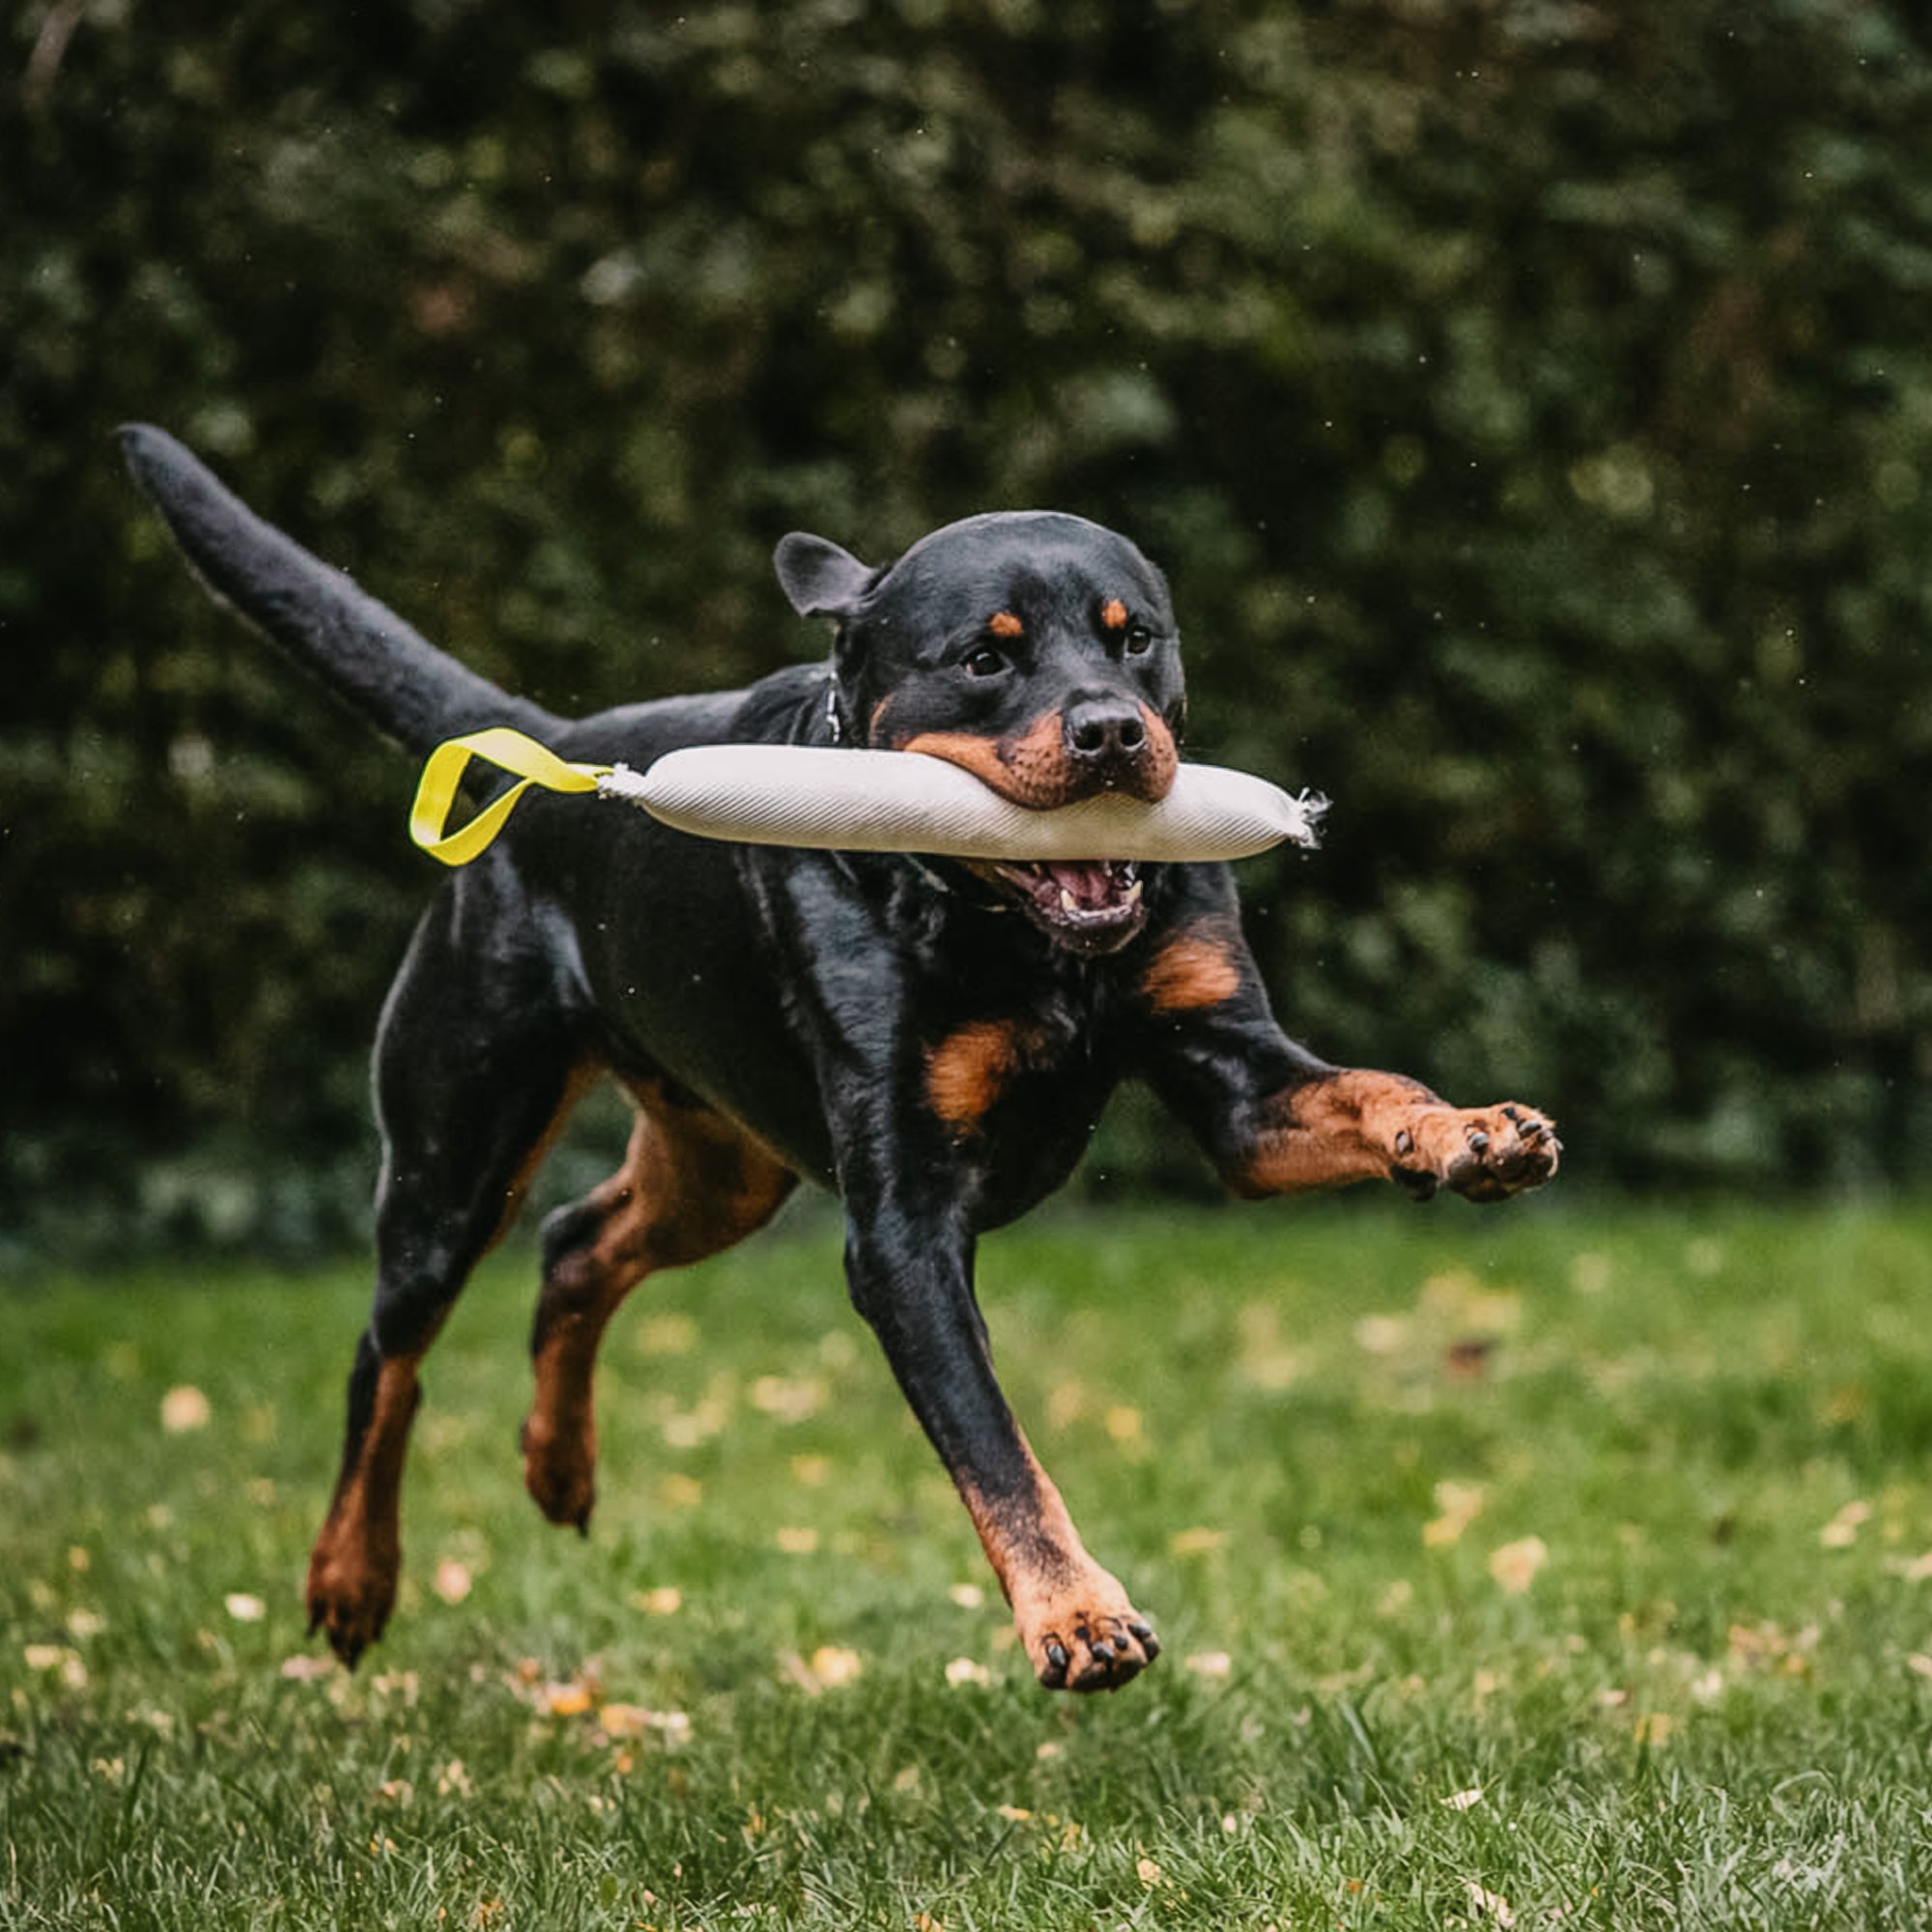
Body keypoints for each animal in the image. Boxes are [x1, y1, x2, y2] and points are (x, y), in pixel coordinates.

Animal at [125, 427, 1553, 1692]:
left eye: (1132, 636)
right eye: (984, 659)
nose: (1110, 732)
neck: (1015, 934)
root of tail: (553, 753)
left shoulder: (1233, 1077)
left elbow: (1367, 1092)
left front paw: (1472, 1132)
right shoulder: (904, 1224)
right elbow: (992, 1440)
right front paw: (1077, 1615)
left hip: (724, 1162)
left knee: (580, 1242)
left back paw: (557, 1463)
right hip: (456, 1140)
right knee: (390, 1353)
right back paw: (350, 1578)